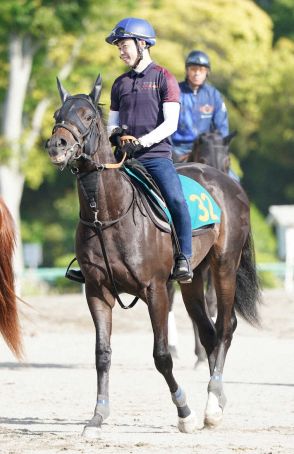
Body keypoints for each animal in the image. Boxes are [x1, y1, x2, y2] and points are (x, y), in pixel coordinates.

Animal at [46, 76, 260, 438]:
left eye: (87, 116)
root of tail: (227, 183)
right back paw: (216, 398)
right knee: (209, 331)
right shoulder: (97, 291)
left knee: (225, 327)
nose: (57, 145)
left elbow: (161, 355)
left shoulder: (156, 289)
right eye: (57, 115)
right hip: (192, 279)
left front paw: (184, 412)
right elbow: (102, 354)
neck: (107, 213)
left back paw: (212, 404)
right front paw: (97, 417)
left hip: (224, 267)